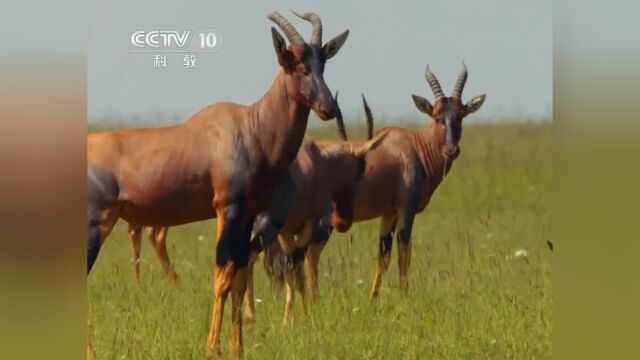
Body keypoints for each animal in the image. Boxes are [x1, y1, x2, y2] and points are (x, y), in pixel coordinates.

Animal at [86, 11, 350, 358]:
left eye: (322, 64)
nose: (329, 108)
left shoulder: (249, 214)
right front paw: (212, 347)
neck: (250, 127)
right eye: (298, 67)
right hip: (95, 223)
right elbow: (222, 277)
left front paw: (237, 348)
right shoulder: (229, 208)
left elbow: (238, 277)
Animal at [244, 94, 384, 324]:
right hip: (265, 226)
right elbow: (297, 266)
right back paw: (250, 316)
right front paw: (298, 316)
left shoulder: (286, 231)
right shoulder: (309, 225)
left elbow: (294, 268)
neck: (317, 161)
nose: (344, 221)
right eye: (361, 169)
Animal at [260, 64, 484, 298]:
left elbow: (383, 256)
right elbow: (404, 254)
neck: (413, 147)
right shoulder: (406, 210)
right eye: (437, 116)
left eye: (460, 115)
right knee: (307, 254)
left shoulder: (389, 214)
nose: (451, 150)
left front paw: (373, 299)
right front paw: (404, 296)